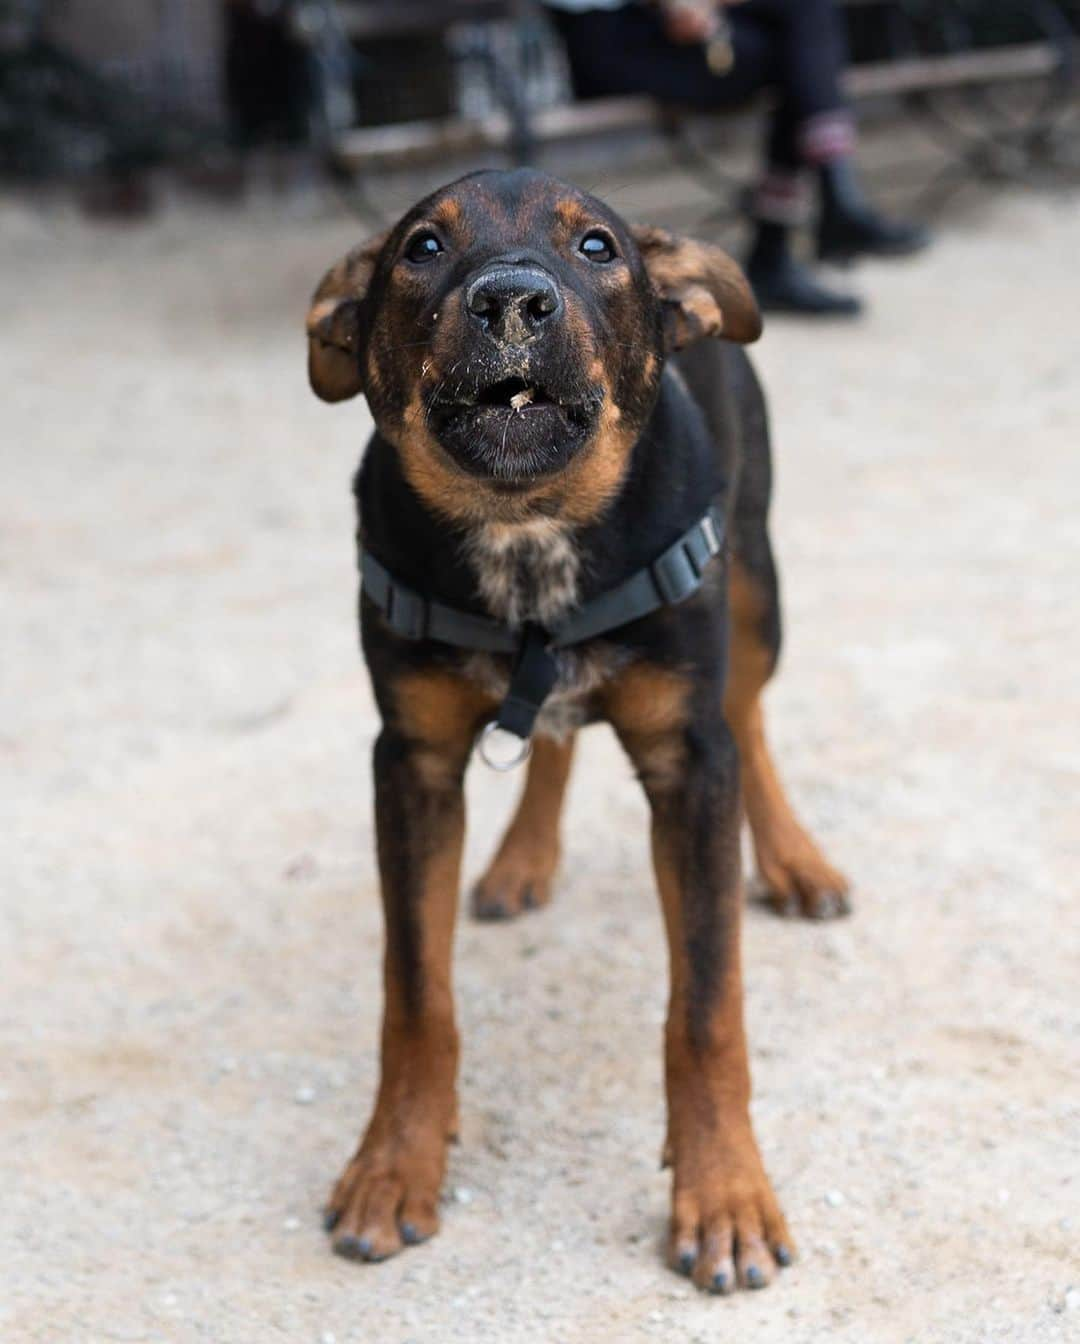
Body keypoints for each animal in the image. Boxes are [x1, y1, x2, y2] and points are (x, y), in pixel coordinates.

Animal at [306, 165, 854, 1290]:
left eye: (597, 247)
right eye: (422, 247)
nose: (512, 300)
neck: (529, 530)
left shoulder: (690, 762)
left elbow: (707, 1006)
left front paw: (725, 1195)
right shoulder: (411, 762)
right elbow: (414, 993)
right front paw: (394, 1165)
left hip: (754, 586)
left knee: (752, 716)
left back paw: (793, 860)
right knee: (552, 732)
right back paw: (522, 858)